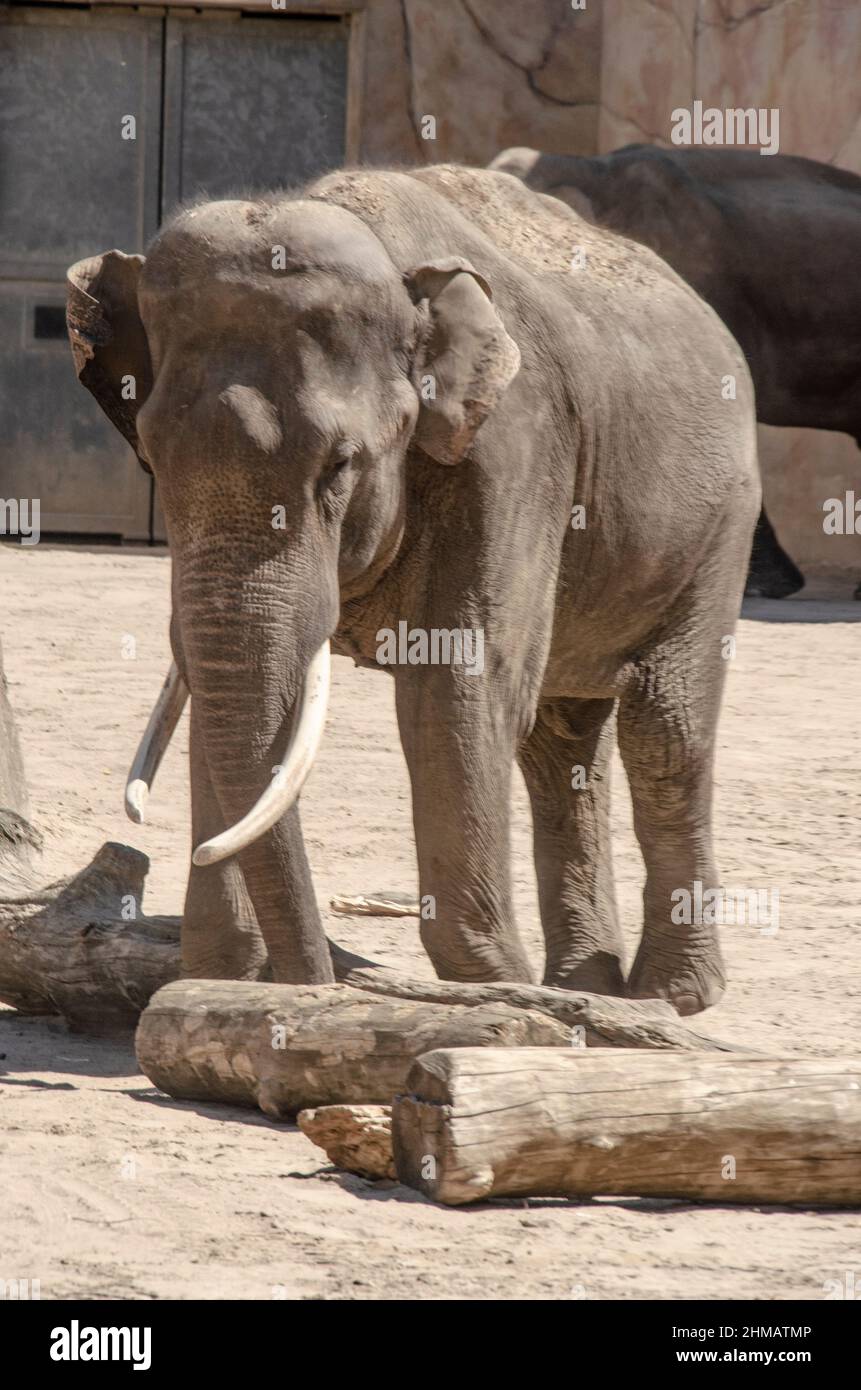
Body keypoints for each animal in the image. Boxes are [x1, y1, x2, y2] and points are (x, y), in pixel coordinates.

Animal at [65, 162, 756, 1017]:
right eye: (154, 463)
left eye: (339, 466)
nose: (312, 985)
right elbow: (209, 689)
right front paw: (221, 975)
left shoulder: (516, 450)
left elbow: (454, 687)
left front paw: (498, 990)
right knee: (561, 741)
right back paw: (587, 987)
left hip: (722, 525)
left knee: (664, 729)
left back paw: (667, 996)